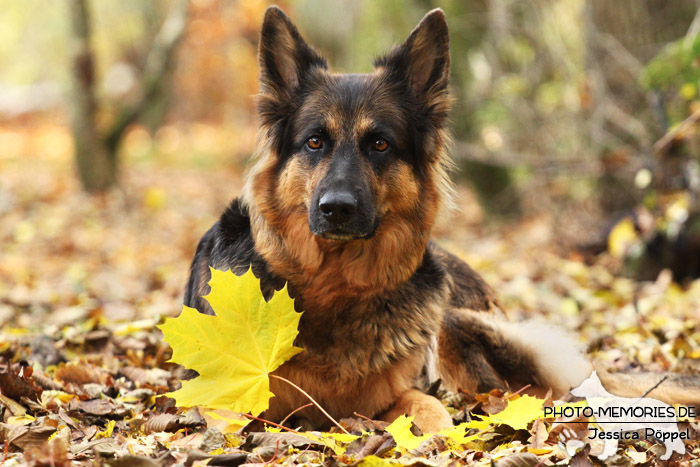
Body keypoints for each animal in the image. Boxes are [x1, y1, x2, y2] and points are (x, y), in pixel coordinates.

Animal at [182, 6, 696, 436]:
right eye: (314, 142)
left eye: (380, 144)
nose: (337, 208)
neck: (335, 283)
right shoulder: (225, 393)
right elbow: (227, 415)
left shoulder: (400, 391)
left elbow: (431, 410)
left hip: (455, 324)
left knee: (530, 393)